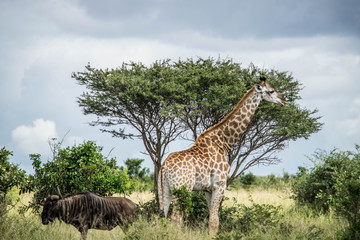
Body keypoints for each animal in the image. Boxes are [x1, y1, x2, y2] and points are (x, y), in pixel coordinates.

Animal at [158, 76, 286, 234]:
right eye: (271, 91)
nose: (284, 100)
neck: (223, 143)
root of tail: (164, 167)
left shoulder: (208, 189)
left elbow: (211, 217)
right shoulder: (220, 185)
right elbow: (214, 221)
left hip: (166, 189)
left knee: (163, 215)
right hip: (182, 188)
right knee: (176, 217)